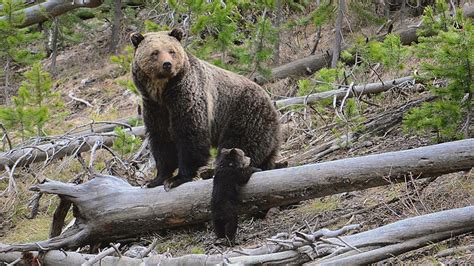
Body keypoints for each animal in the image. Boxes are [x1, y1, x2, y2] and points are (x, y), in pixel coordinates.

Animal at [130, 28, 280, 189]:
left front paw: (177, 178)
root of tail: (271, 103)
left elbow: (190, 135)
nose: (167, 64)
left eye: (171, 51)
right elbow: (161, 140)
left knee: (238, 145)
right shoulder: (154, 107)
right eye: (155, 52)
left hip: (245, 113)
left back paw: (213, 171)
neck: (163, 91)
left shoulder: (187, 97)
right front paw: (156, 179)